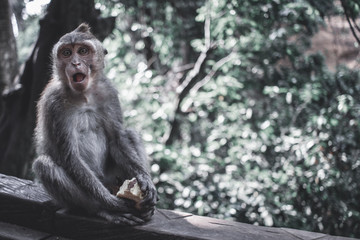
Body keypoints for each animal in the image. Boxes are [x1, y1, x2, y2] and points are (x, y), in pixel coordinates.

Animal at [32, 23, 158, 225]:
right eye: (66, 53)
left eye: (83, 51)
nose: (75, 63)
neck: (84, 96)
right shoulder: (54, 103)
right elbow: (70, 157)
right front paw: (112, 203)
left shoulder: (109, 93)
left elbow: (117, 139)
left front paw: (144, 179)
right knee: (44, 165)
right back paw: (102, 210)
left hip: (111, 177)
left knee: (130, 134)